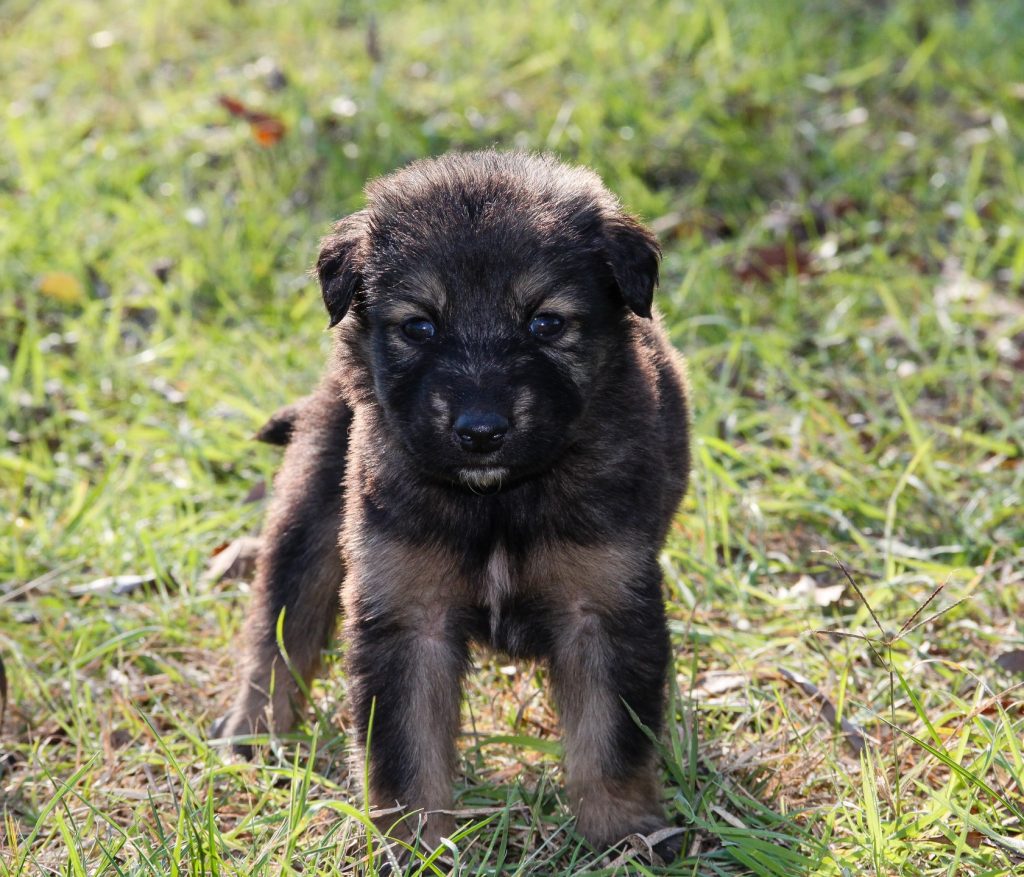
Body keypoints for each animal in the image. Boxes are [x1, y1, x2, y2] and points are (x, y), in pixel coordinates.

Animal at [218, 150, 696, 856]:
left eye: (545, 323)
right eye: (420, 326)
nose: (480, 430)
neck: (496, 503)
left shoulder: (602, 606)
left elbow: (609, 742)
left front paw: (624, 838)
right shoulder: (406, 613)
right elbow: (405, 751)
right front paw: (411, 845)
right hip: (312, 505)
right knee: (280, 623)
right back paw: (254, 730)